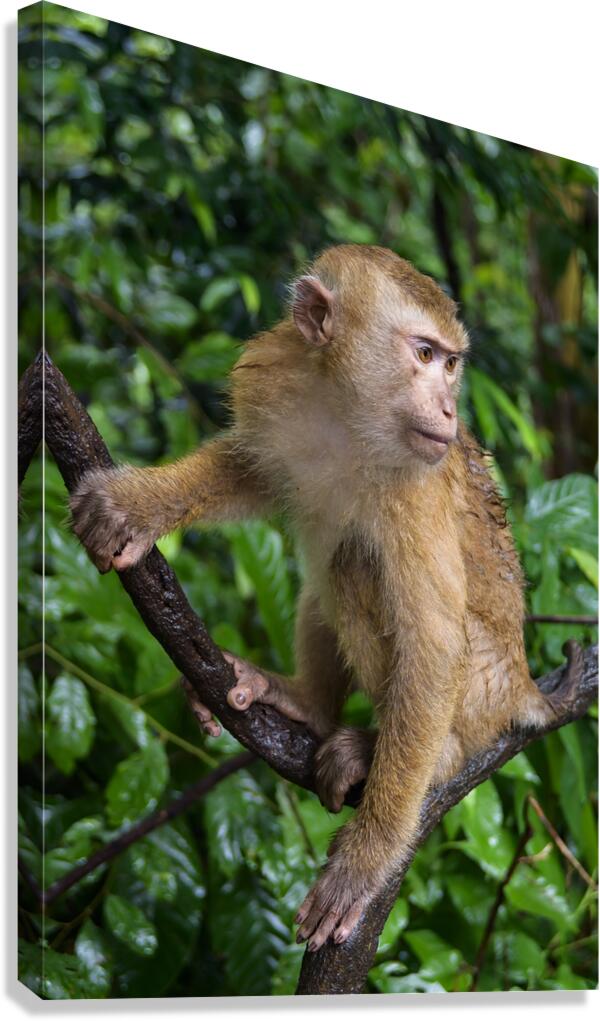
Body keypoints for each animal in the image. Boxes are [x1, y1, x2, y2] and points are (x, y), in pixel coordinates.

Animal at [70, 244, 574, 952]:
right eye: (426, 354)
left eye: (451, 363)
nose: (450, 409)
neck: (348, 415)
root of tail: (523, 679)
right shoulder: (275, 376)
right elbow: (250, 469)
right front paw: (139, 506)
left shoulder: (416, 482)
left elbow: (432, 642)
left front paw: (366, 859)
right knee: (324, 574)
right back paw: (306, 702)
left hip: (482, 690)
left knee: (354, 567)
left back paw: (423, 754)